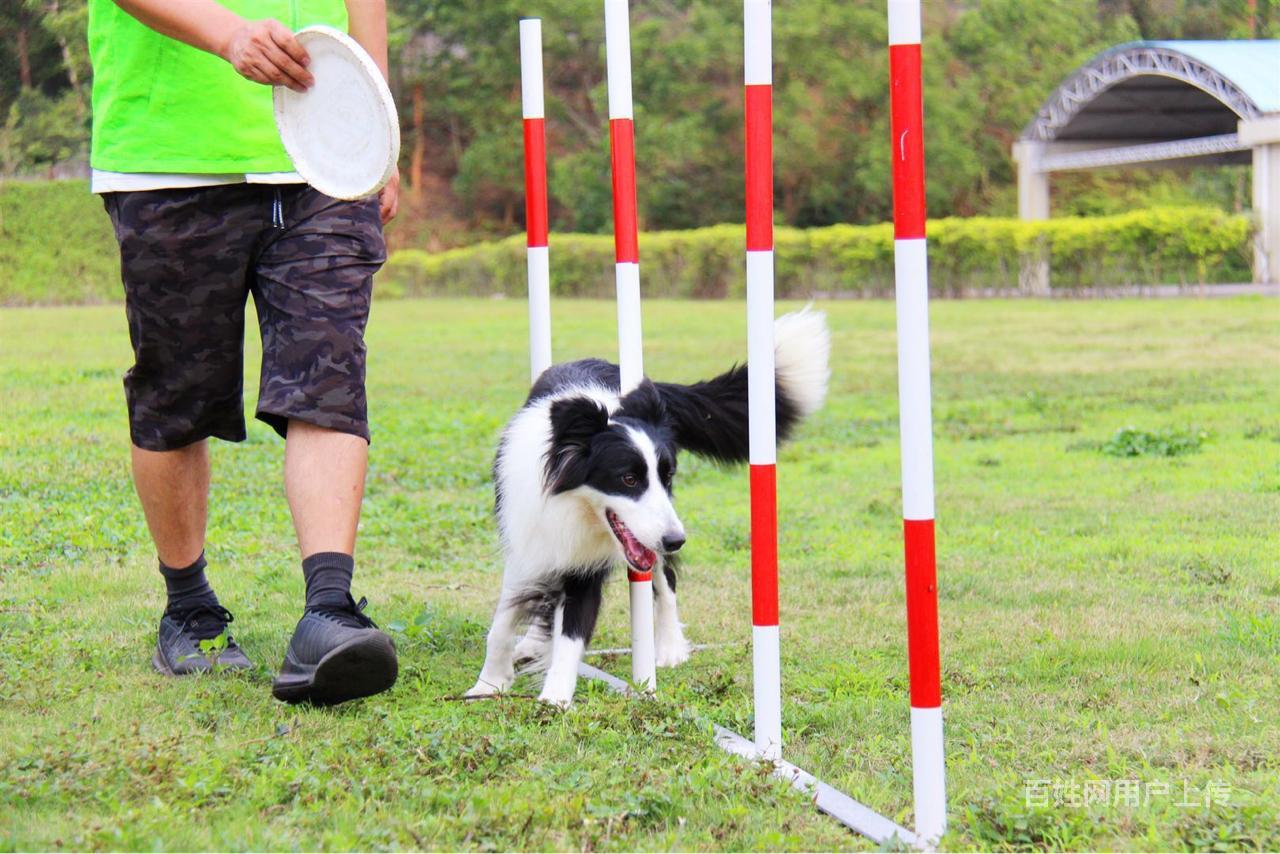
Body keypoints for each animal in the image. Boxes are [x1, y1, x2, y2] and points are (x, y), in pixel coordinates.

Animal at [471, 308, 829, 706]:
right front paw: (489, 683)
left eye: (668, 475)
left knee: (665, 577)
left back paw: (670, 645)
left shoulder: (589, 565)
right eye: (628, 479)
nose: (677, 540)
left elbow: (573, 633)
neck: (575, 509)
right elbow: (503, 621)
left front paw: (554, 700)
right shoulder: (527, 538)